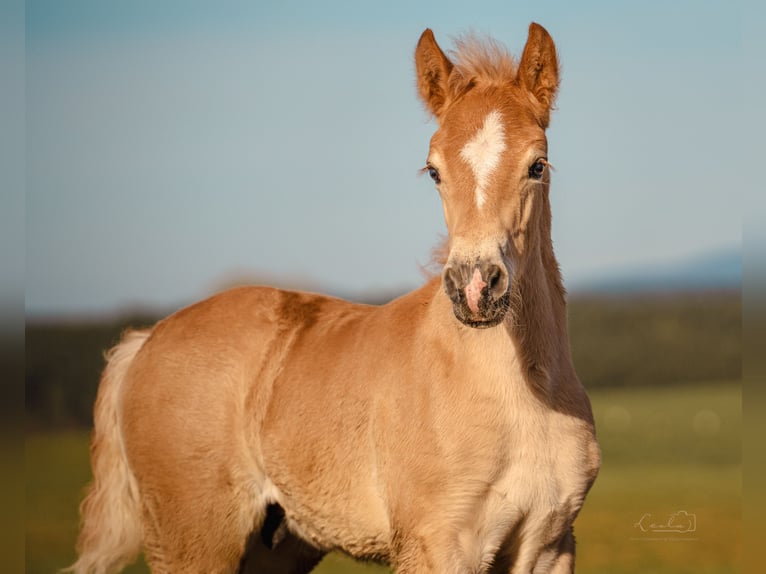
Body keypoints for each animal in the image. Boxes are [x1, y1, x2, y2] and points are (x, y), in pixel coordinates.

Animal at [67, 22, 600, 574]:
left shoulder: (549, 546)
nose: (475, 288)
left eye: (537, 165)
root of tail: (145, 343)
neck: (518, 398)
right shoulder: (435, 545)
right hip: (191, 543)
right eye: (433, 170)